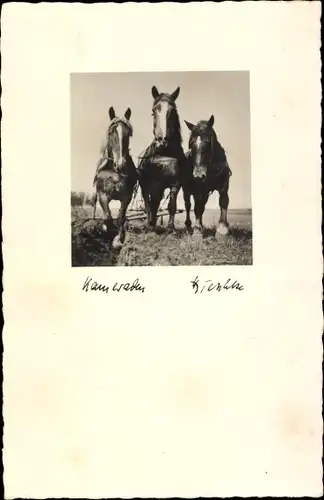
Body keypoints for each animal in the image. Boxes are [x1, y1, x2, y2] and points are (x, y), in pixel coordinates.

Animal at [92, 106, 137, 250]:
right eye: (111, 132)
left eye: (128, 133)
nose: (121, 164)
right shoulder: (102, 194)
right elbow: (107, 217)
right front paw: (106, 229)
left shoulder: (127, 196)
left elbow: (120, 218)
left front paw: (118, 239)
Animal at [138, 86, 189, 232]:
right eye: (153, 111)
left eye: (172, 111)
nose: (161, 141)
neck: (164, 153)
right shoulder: (152, 183)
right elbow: (149, 204)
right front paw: (150, 224)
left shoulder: (175, 184)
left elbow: (171, 205)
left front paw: (170, 228)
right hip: (145, 184)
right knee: (148, 201)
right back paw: (149, 224)